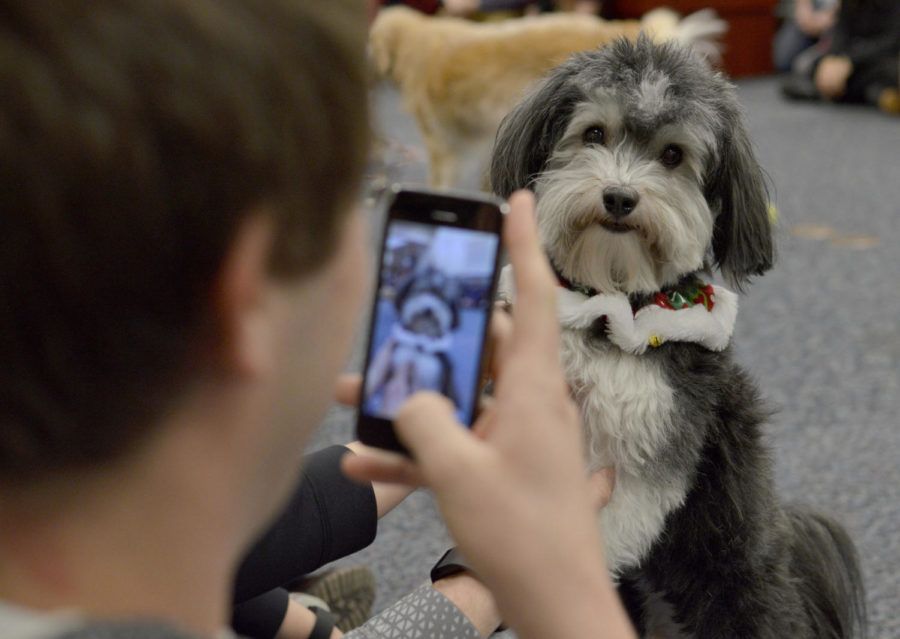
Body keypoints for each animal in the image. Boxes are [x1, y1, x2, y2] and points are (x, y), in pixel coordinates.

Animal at [492, 36, 864, 639]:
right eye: (593, 133)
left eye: (672, 155)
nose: (619, 197)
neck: (612, 304)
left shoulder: (659, 439)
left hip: (735, 573)